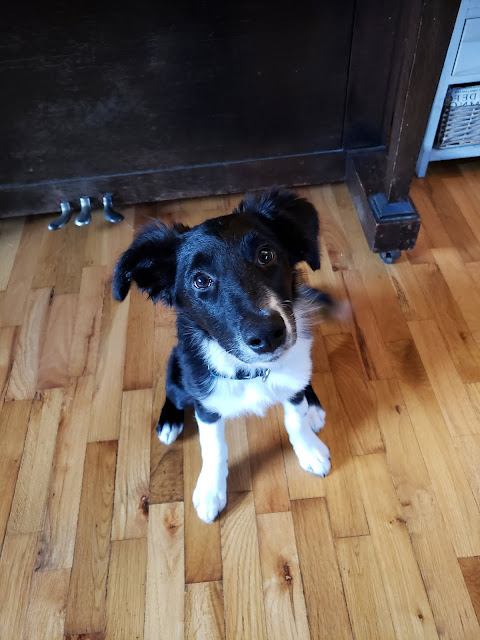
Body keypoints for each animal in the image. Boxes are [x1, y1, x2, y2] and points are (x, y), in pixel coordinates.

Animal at [114, 188, 336, 524]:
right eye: (200, 280)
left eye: (266, 255)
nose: (267, 335)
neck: (253, 371)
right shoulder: (206, 405)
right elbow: (213, 448)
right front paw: (210, 490)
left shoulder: (291, 378)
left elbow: (294, 418)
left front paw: (309, 449)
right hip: (180, 373)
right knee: (173, 392)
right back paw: (169, 422)